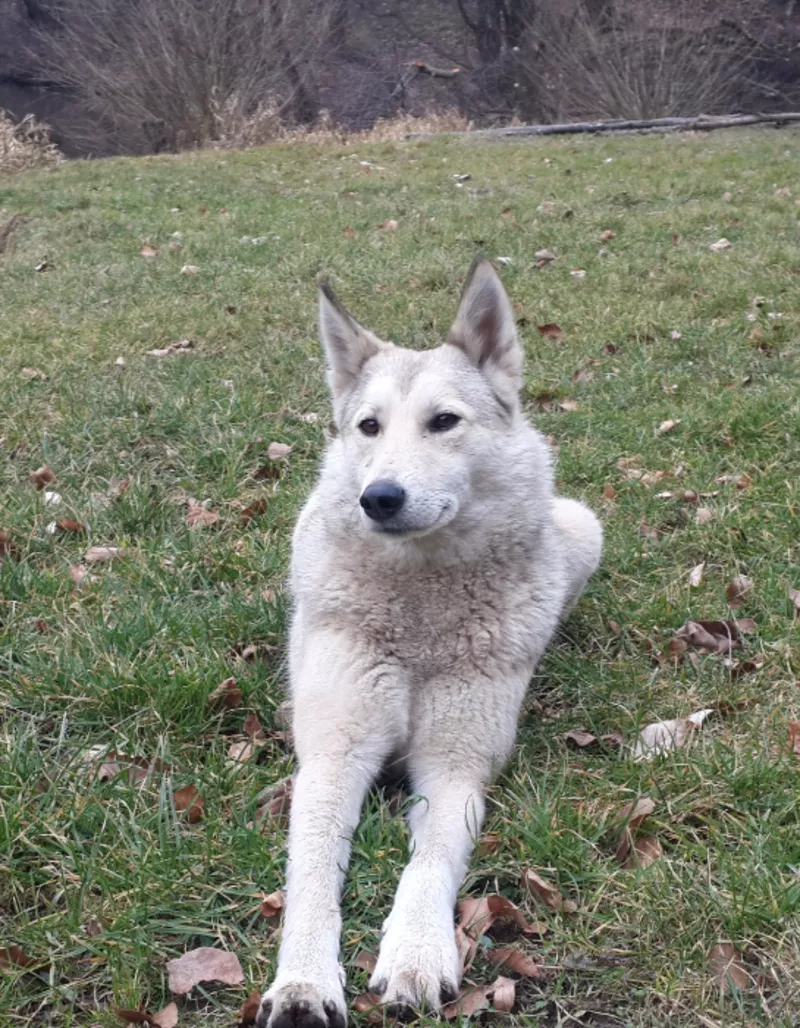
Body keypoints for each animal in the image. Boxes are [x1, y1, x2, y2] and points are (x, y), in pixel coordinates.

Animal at [259, 257, 600, 1028]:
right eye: (370, 426)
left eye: (443, 422)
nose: (379, 497)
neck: (418, 611)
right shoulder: (332, 757)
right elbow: (312, 879)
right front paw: (303, 980)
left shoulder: (455, 766)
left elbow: (429, 865)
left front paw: (416, 953)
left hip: (584, 528)